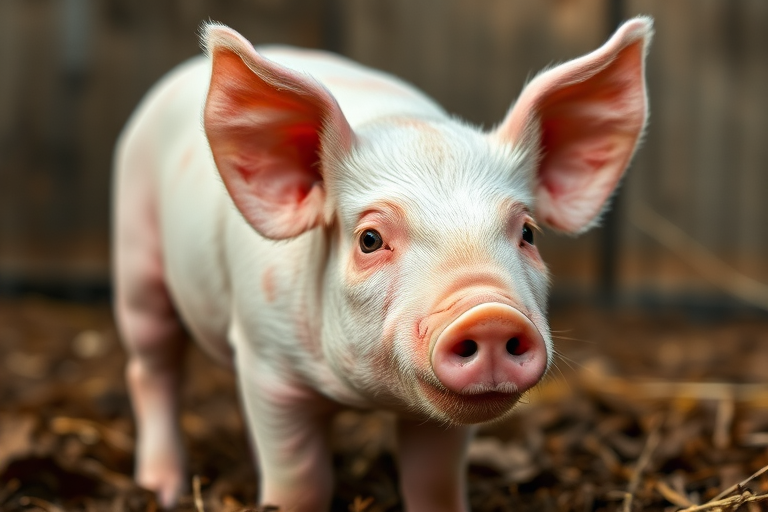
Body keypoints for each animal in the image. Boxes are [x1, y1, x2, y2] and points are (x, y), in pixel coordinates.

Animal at [113, 16, 652, 511]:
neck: (363, 397)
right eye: (369, 240)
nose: (490, 314)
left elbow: (433, 480)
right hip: (136, 256)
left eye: (528, 233)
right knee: (151, 367)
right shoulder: (266, 361)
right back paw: (162, 488)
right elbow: (299, 480)